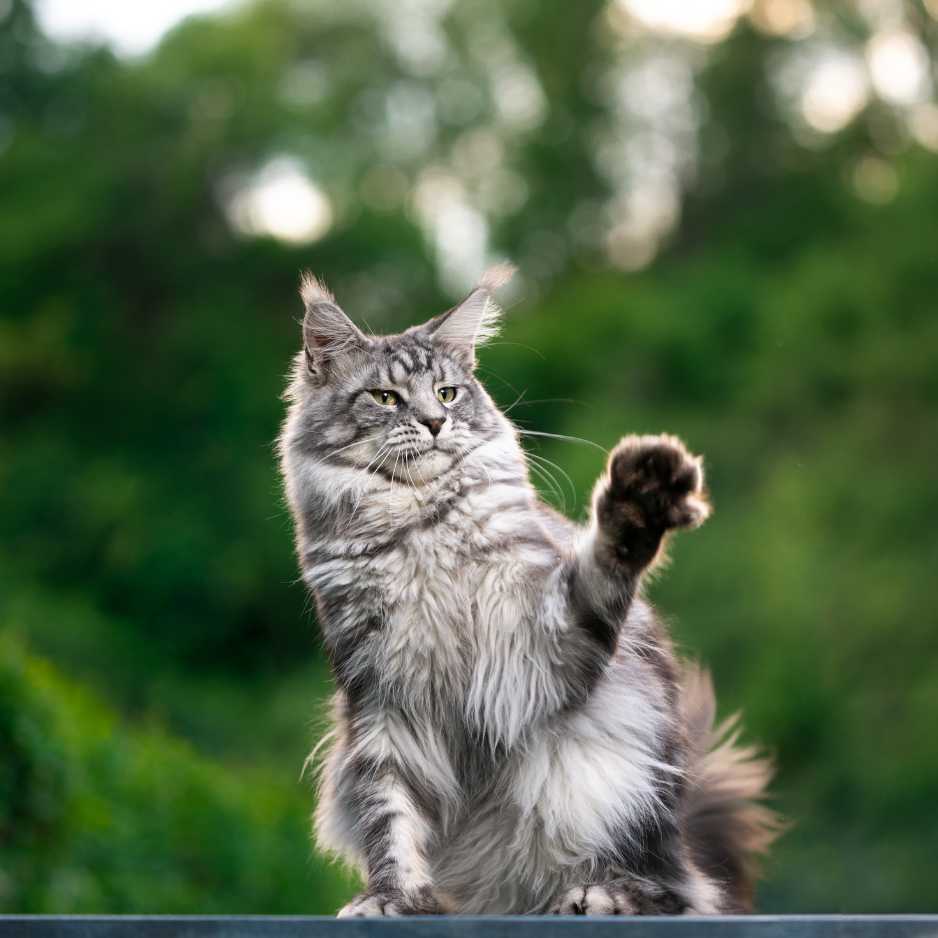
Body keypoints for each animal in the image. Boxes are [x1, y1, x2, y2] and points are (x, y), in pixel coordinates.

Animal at [280, 264, 784, 916]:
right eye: (386, 398)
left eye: (448, 393)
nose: (436, 423)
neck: (418, 526)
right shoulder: (378, 699)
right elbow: (387, 812)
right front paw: (393, 897)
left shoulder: (541, 645)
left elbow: (602, 566)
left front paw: (638, 499)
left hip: (625, 777)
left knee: (671, 890)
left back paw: (601, 893)